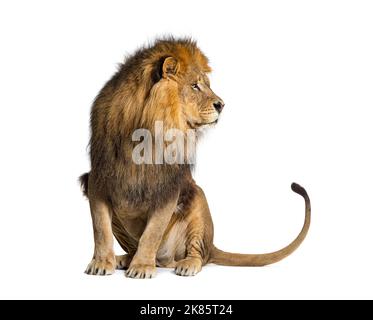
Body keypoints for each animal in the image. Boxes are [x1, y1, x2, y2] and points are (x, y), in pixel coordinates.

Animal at [80, 37, 310, 278]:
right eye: (195, 86)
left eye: (206, 84)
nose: (222, 105)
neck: (143, 133)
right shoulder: (97, 179)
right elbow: (101, 229)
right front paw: (102, 263)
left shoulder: (169, 186)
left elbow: (152, 233)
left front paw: (142, 266)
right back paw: (124, 259)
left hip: (198, 200)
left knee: (198, 254)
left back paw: (185, 264)